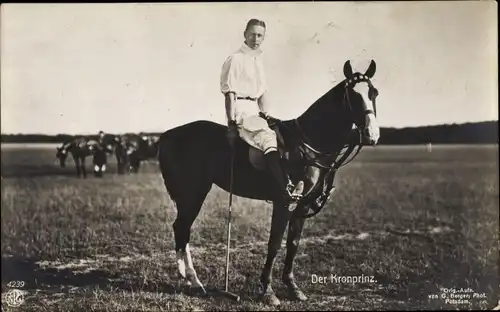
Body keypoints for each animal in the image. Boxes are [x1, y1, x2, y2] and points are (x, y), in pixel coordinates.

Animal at [158, 60, 380, 304]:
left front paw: (293, 287)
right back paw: (195, 281)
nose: (372, 135)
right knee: (182, 228)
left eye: (374, 93)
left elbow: (293, 243)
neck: (309, 145)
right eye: (353, 95)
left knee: (182, 229)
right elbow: (274, 243)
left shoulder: (302, 205)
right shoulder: (284, 203)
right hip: (193, 193)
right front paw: (267, 290)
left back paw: (189, 279)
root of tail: (165, 135)